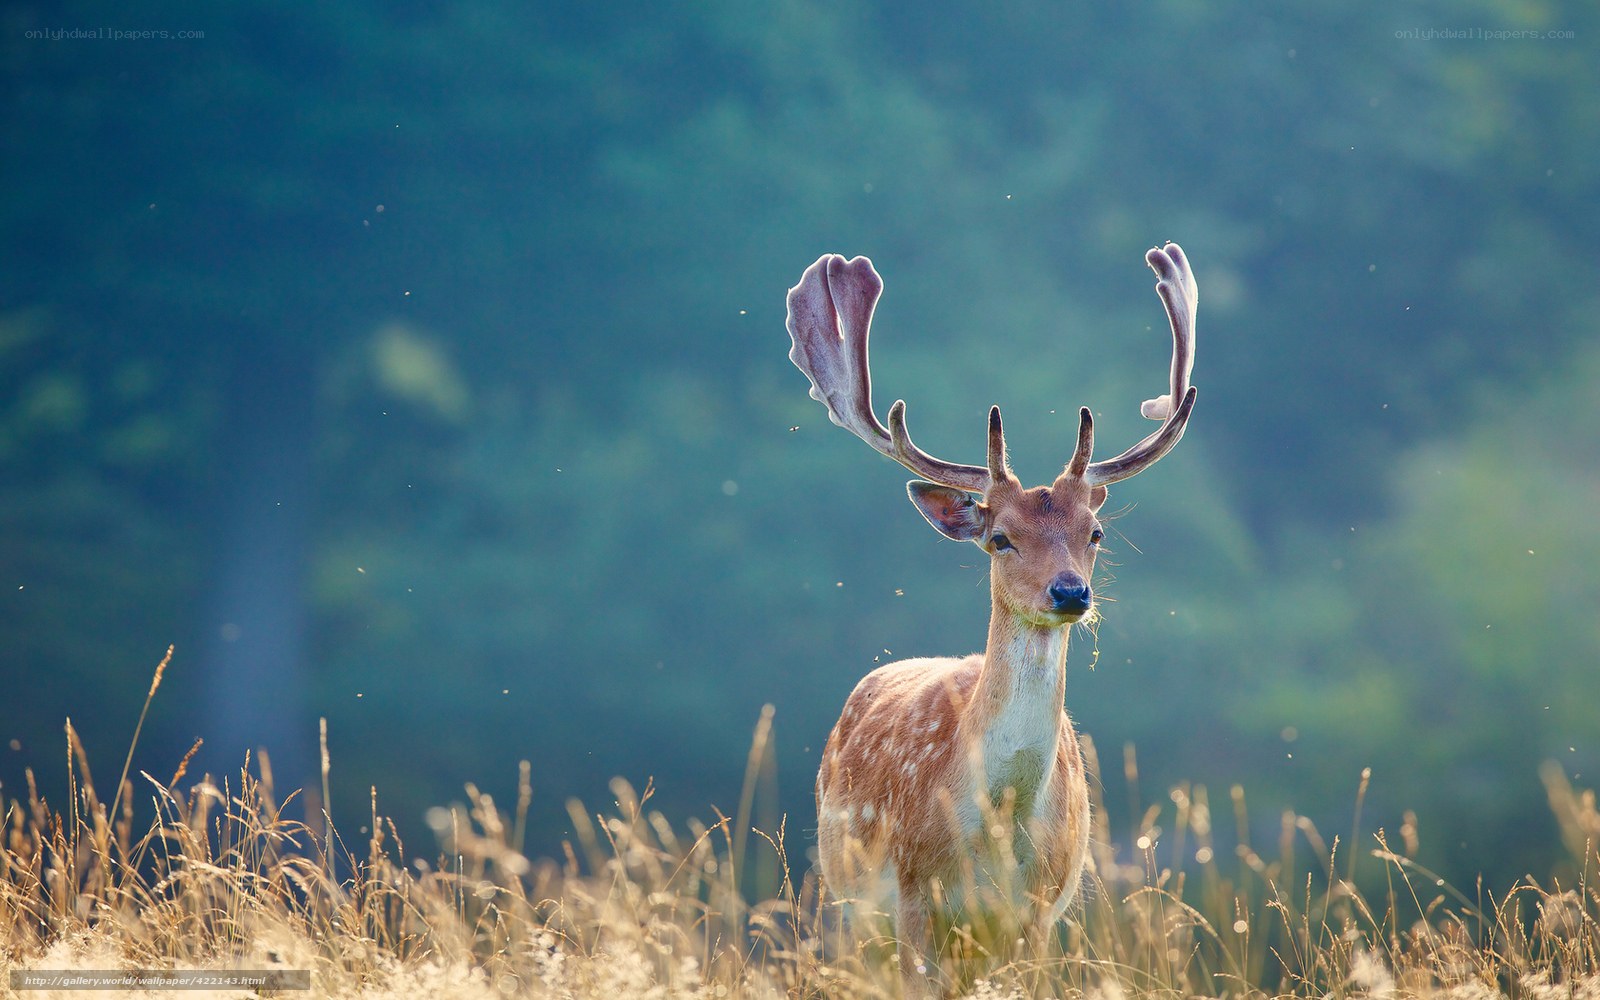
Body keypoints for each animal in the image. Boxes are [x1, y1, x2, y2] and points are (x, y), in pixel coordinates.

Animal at [787, 243, 1198, 996]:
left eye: (1095, 532)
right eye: (1000, 537)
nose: (1070, 593)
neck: (995, 832)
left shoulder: (1037, 912)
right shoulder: (911, 899)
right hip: (845, 901)